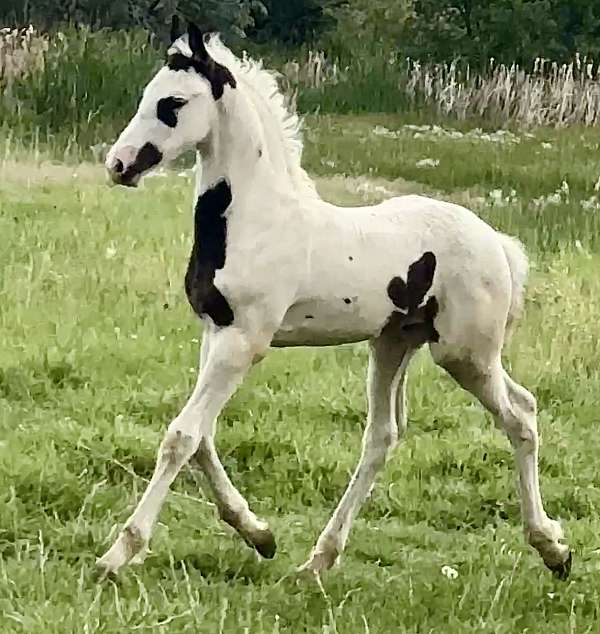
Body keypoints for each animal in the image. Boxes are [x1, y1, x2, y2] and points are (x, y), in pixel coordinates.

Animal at [97, 23, 572, 576]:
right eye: (146, 95)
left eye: (172, 103)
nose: (119, 164)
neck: (257, 220)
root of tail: (498, 242)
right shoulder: (215, 334)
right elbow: (203, 439)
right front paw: (259, 534)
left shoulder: (244, 341)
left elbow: (182, 437)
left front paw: (119, 552)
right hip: (394, 343)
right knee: (385, 435)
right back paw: (319, 560)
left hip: (464, 354)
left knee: (519, 417)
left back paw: (553, 548)